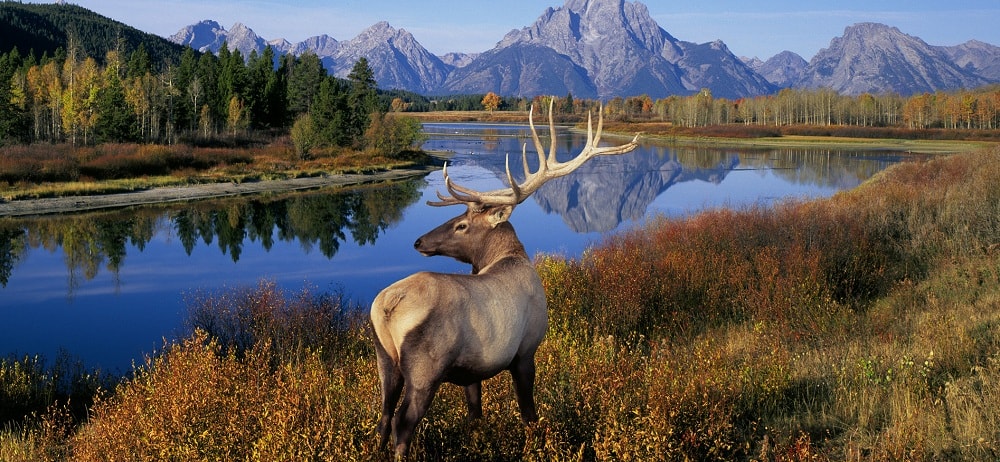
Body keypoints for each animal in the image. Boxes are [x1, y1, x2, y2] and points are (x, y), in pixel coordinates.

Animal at [370, 101, 640, 458]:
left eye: (461, 225)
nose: (418, 241)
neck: (510, 257)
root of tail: (387, 307)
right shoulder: (526, 350)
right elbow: (529, 413)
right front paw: (537, 445)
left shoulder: (472, 371)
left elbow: (475, 414)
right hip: (425, 368)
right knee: (403, 423)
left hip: (386, 360)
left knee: (384, 416)